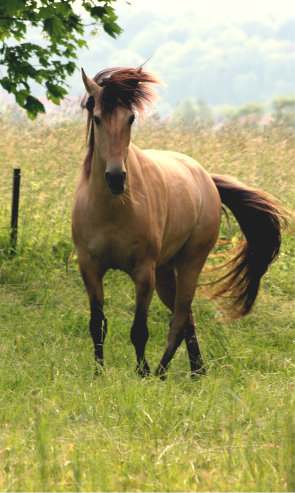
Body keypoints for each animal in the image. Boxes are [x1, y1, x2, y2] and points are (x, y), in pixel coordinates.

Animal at [71, 65, 284, 376]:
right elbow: (97, 325)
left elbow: (139, 330)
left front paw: (142, 373)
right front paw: (99, 374)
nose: (116, 178)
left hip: (189, 263)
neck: (112, 208)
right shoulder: (90, 268)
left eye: (130, 118)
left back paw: (162, 373)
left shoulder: (143, 273)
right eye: (97, 118)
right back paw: (196, 371)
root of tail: (205, 177)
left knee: (180, 317)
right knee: (187, 317)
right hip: (165, 272)